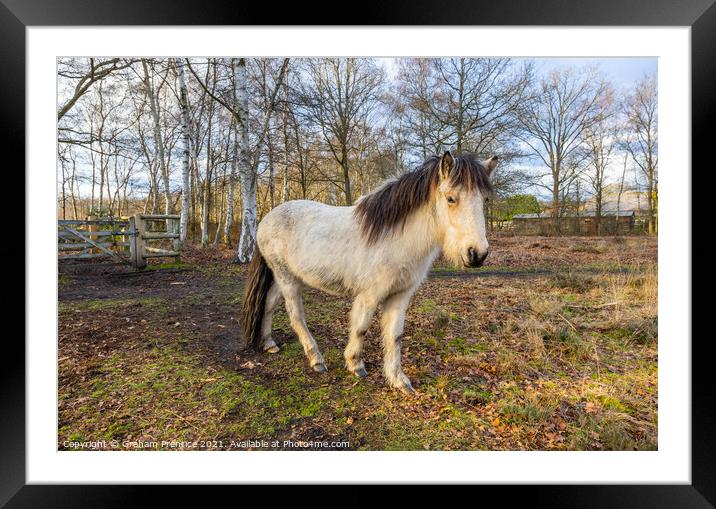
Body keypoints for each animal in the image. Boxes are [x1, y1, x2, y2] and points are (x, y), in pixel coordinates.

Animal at [241, 151, 498, 392]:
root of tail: (267, 218)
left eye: (485, 199)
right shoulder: (370, 295)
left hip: (284, 277)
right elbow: (361, 327)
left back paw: (269, 343)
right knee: (296, 316)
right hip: (287, 279)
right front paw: (355, 364)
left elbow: (395, 336)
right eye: (451, 198)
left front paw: (398, 380)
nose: (477, 254)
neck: (395, 239)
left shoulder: (400, 296)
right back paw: (316, 359)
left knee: (268, 304)